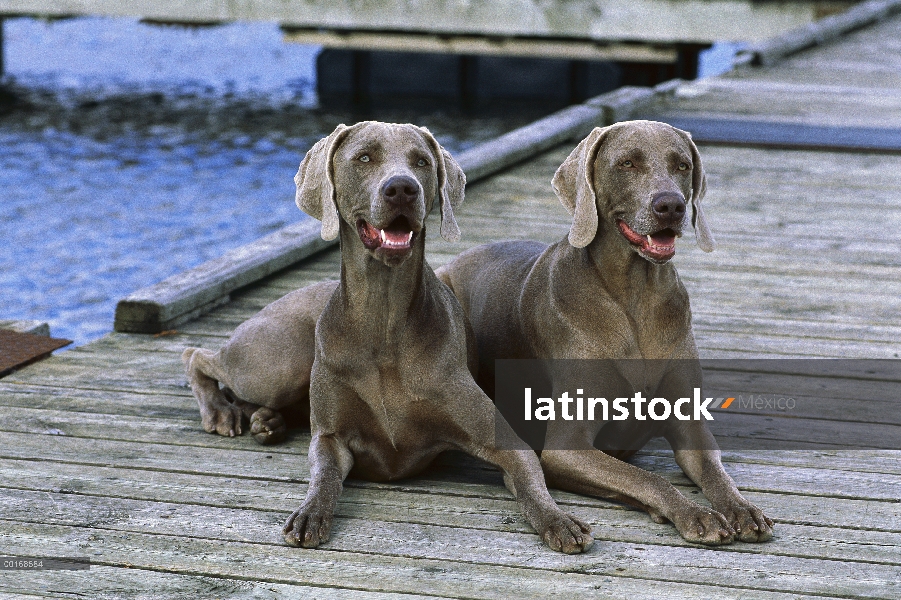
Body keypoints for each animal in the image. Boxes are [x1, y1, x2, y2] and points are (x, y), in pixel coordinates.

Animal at [184, 120, 596, 552]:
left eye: (422, 162)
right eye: (364, 157)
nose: (402, 188)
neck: (383, 322)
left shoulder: (505, 441)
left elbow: (532, 481)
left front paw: (559, 520)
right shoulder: (330, 437)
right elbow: (324, 477)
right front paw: (310, 514)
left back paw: (264, 420)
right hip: (275, 365)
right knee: (196, 355)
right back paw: (222, 411)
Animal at [436, 119, 772, 548]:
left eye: (682, 165)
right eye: (627, 163)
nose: (671, 206)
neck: (636, 296)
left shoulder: (690, 427)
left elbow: (716, 472)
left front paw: (742, 508)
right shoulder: (566, 448)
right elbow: (648, 479)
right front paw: (695, 513)